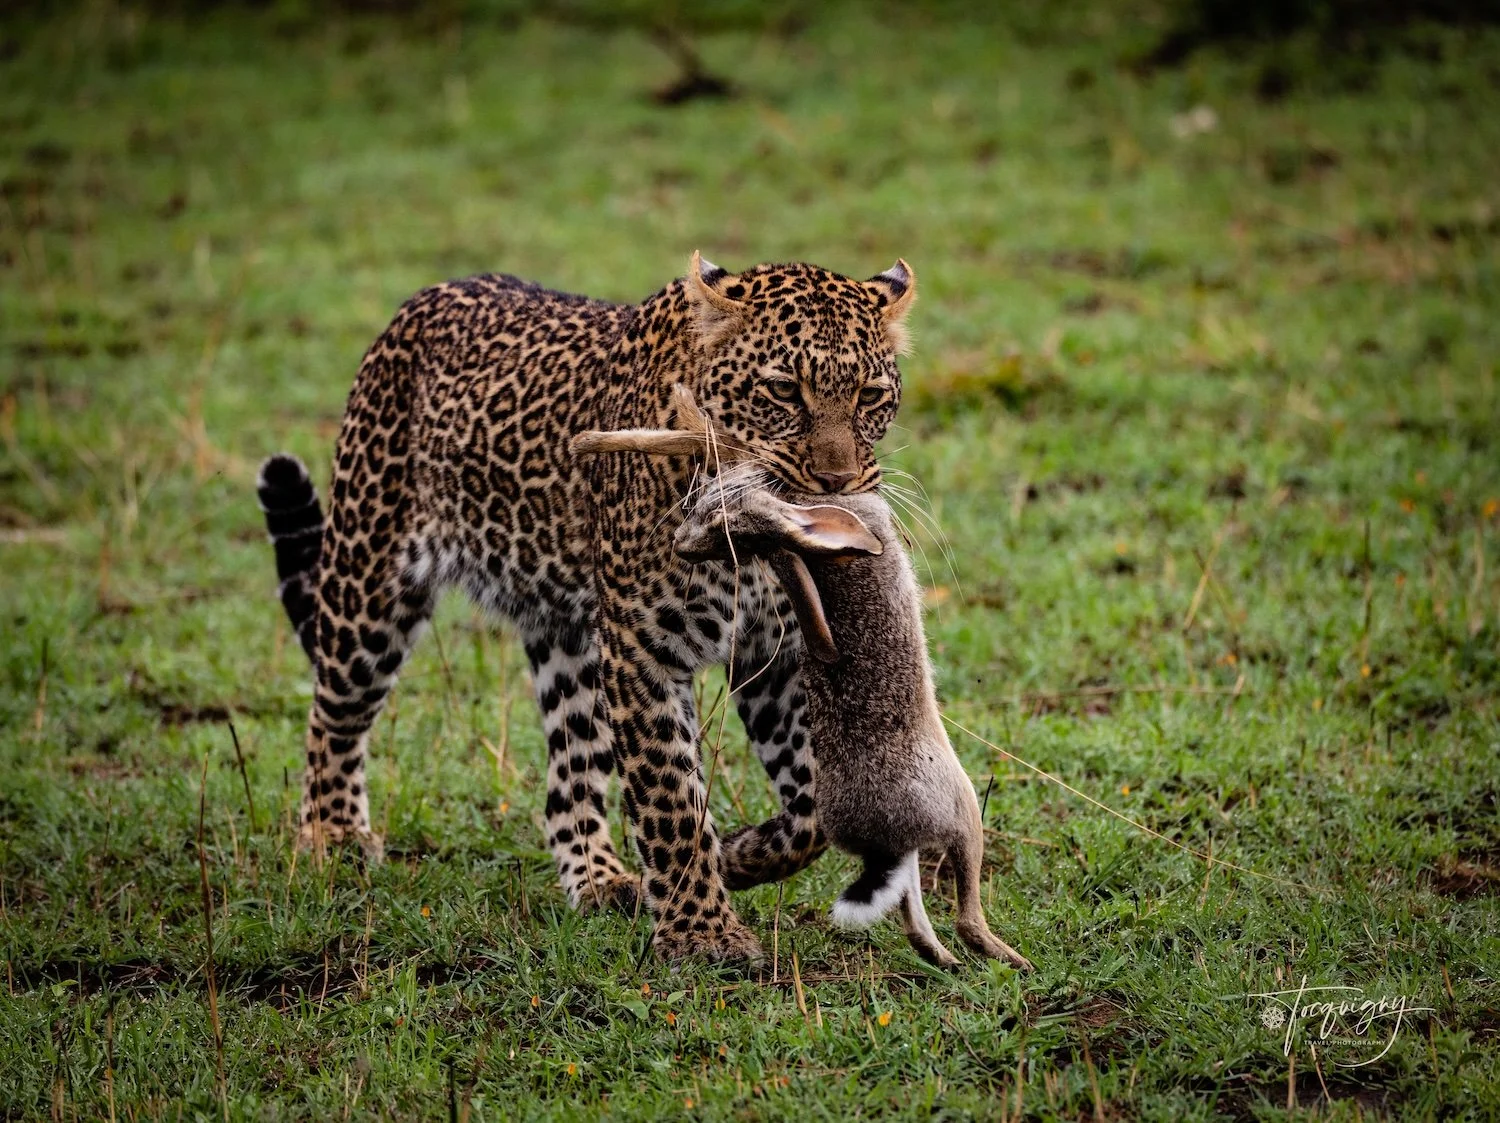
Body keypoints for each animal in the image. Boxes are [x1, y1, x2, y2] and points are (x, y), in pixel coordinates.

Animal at [255, 252, 915, 961]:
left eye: (870, 396)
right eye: (784, 391)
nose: (837, 482)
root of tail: (424, 298)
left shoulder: (776, 654)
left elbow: (815, 800)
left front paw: (737, 858)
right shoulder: (643, 650)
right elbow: (671, 800)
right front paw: (702, 934)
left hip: (568, 639)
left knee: (568, 772)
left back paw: (599, 878)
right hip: (369, 584)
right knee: (334, 714)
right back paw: (334, 837)